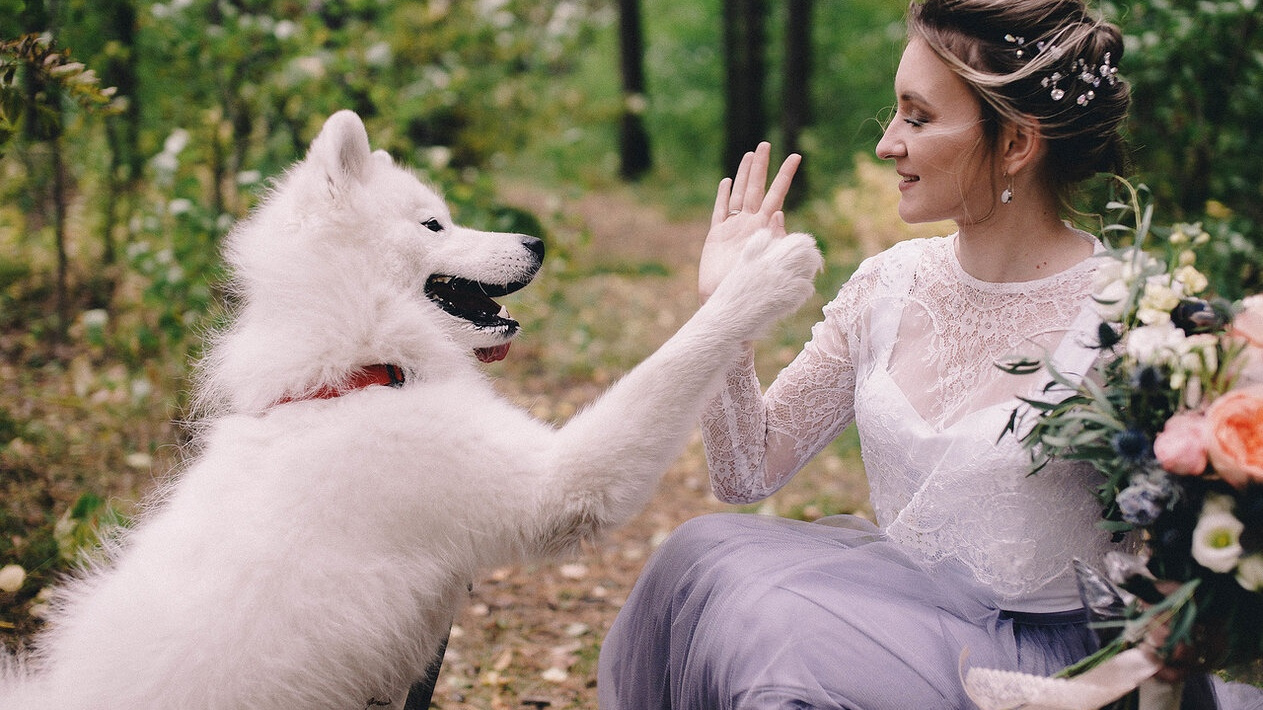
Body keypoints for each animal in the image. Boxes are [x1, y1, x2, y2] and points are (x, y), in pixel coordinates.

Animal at [0, 110, 823, 707]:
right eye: (434, 225)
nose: (536, 240)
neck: (360, 370)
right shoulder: (556, 483)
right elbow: (673, 360)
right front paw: (760, 276)